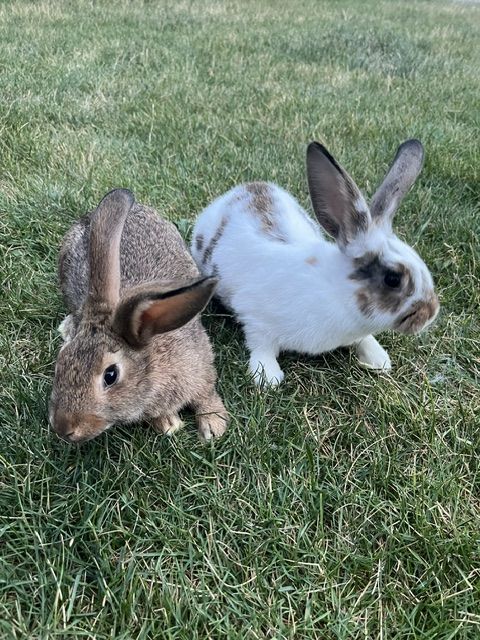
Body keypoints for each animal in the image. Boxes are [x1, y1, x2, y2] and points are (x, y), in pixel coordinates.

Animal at [49, 188, 228, 443]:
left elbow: (206, 392)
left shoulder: (202, 364)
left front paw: (213, 425)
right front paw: (168, 423)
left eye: (111, 375)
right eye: (61, 361)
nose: (63, 427)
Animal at [191, 139, 439, 386]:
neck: (336, 292)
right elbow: (260, 345)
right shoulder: (254, 317)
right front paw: (267, 377)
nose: (431, 312)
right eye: (393, 279)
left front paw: (379, 360)